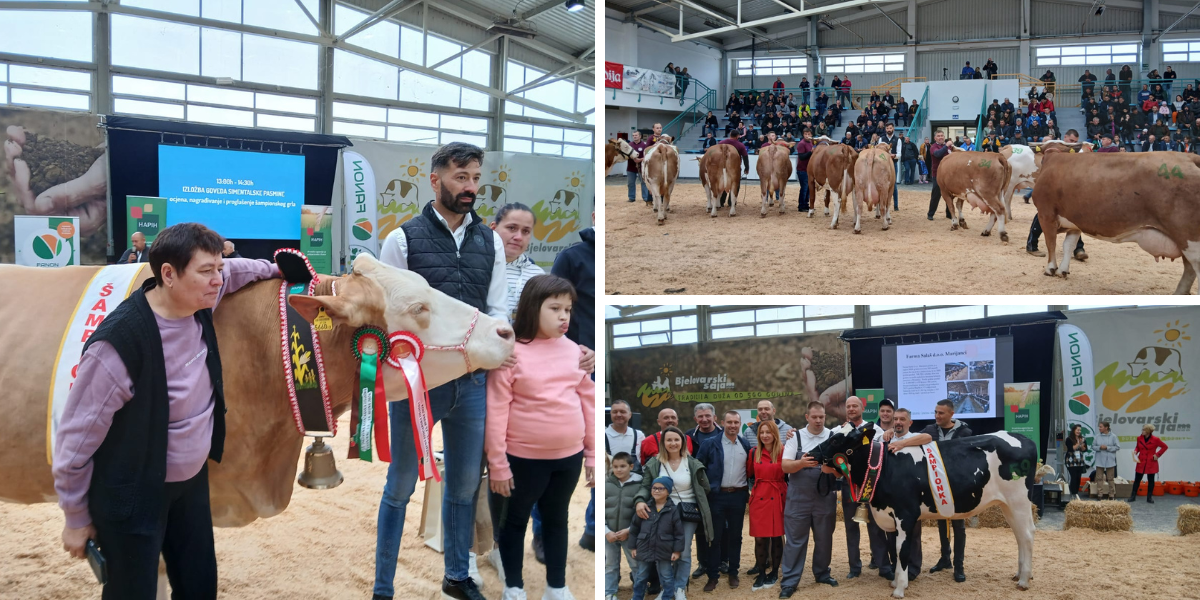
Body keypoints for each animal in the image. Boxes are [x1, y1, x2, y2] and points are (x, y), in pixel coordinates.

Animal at [816, 422, 1041, 600]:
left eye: (835, 441)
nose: (811, 454)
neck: (885, 468)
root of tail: (1023, 438)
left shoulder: (905, 515)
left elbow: (902, 550)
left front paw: (899, 589)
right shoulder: (891, 517)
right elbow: (893, 550)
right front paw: (895, 582)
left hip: (1019, 500)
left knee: (1027, 535)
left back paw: (1024, 581)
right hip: (1007, 505)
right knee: (1019, 536)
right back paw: (1019, 574)